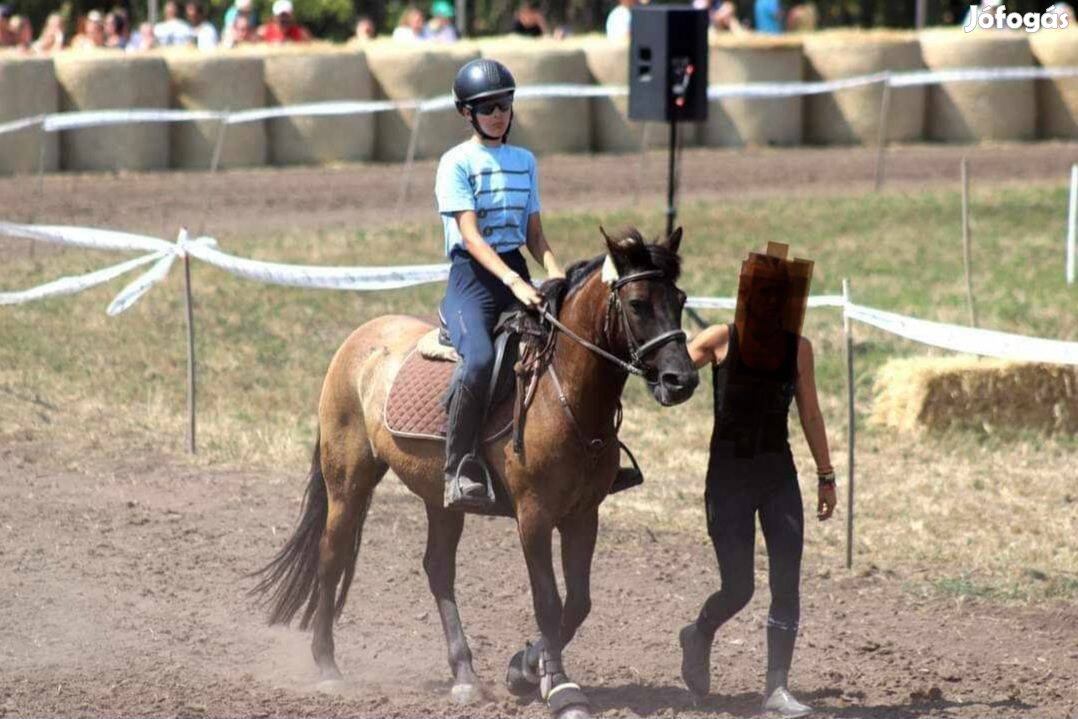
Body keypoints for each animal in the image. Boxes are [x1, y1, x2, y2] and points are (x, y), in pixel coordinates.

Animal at [254, 227, 698, 715]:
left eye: (680, 298)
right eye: (637, 304)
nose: (682, 380)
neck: (561, 393)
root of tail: (359, 340)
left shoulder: (584, 514)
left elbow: (578, 602)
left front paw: (524, 670)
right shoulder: (534, 516)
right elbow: (548, 601)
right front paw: (560, 688)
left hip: (441, 497)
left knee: (438, 569)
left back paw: (464, 674)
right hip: (347, 482)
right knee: (331, 558)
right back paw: (328, 667)